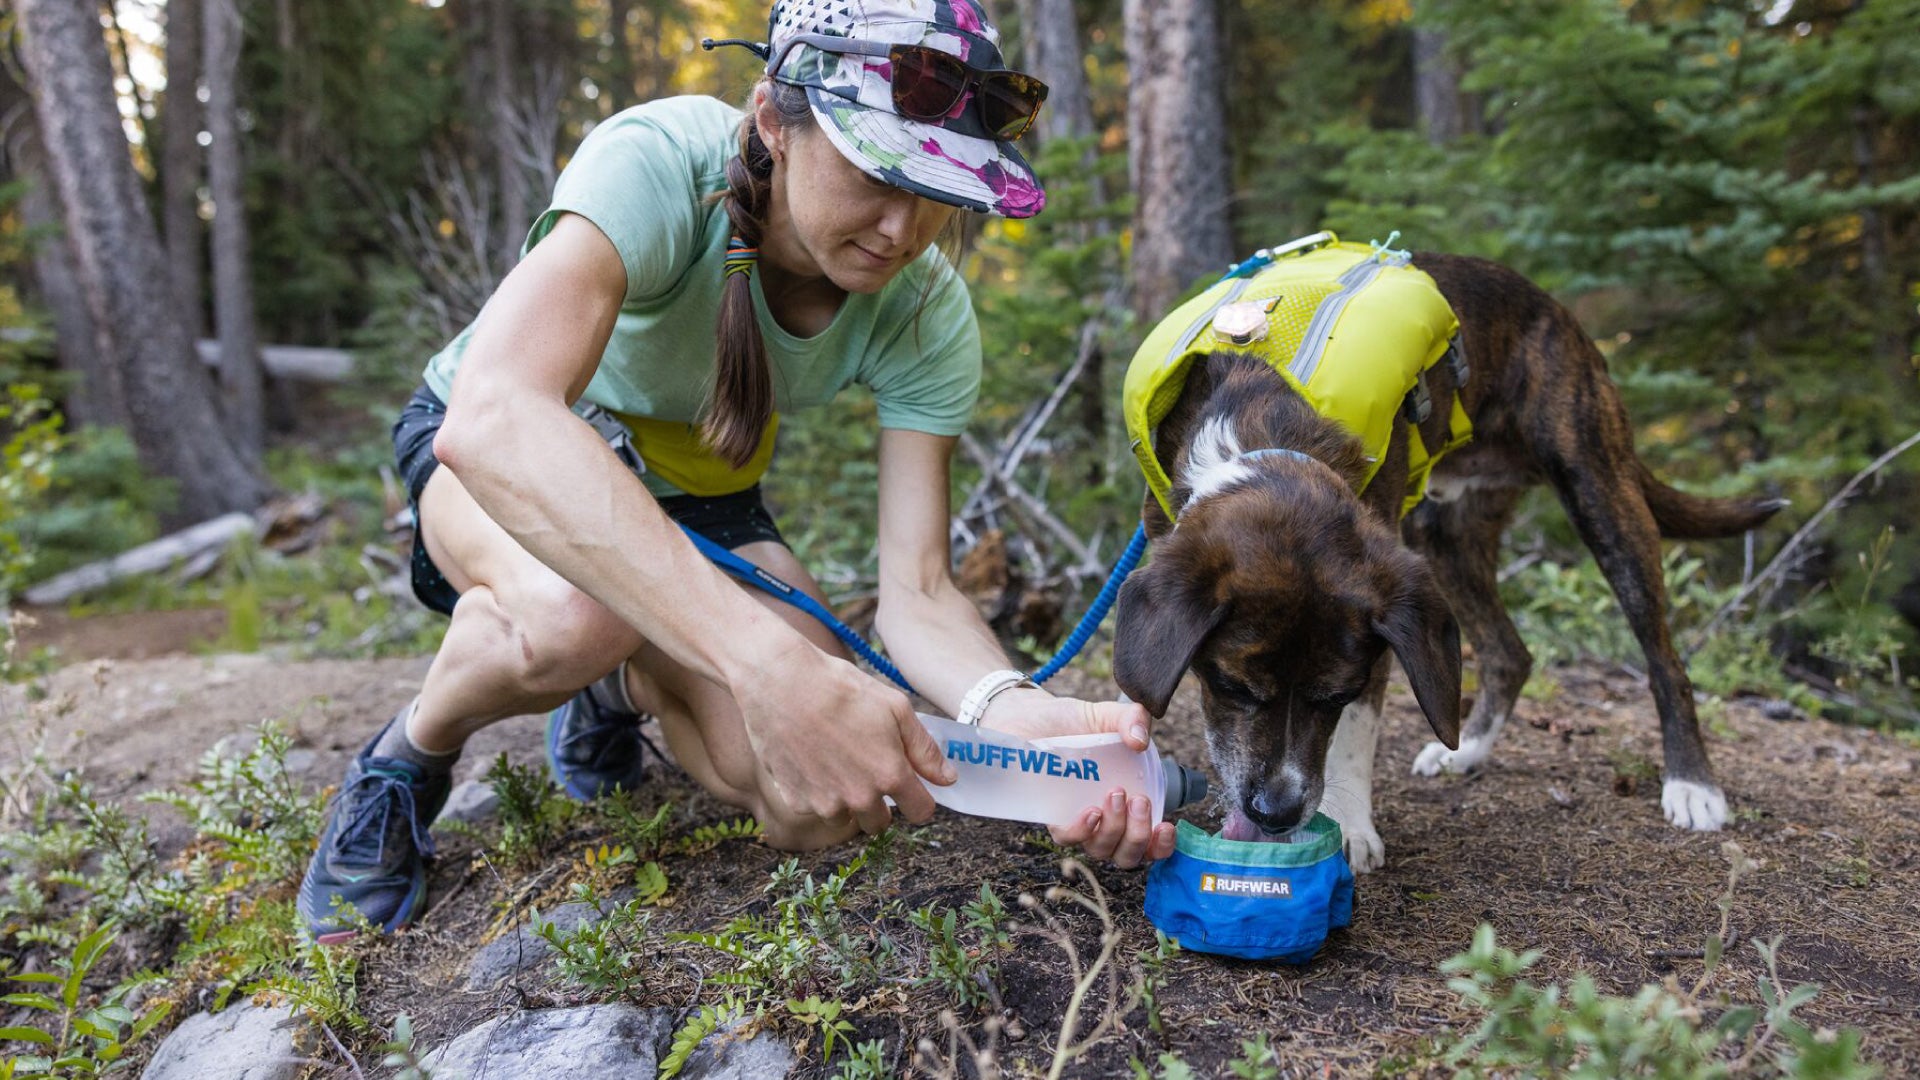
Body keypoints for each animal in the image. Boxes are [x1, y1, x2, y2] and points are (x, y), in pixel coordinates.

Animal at [1113, 245, 1781, 864]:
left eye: (1336, 696)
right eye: (1233, 685)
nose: (1276, 813)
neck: (1268, 431)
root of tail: (1560, 313)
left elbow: (1356, 736)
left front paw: (1351, 828)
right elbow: (1138, 687)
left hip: (1600, 492)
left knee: (1665, 661)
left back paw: (1692, 785)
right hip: (1446, 538)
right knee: (1510, 654)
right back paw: (1471, 750)